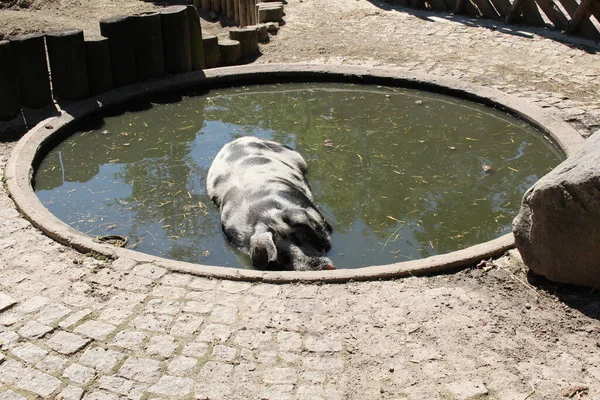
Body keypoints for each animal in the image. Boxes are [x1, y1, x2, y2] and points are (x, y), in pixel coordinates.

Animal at [207, 137, 336, 272]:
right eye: (282, 255)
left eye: (305, 236)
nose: (324, 267)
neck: (265, 215)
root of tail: (239, 139)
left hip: (296, 157)